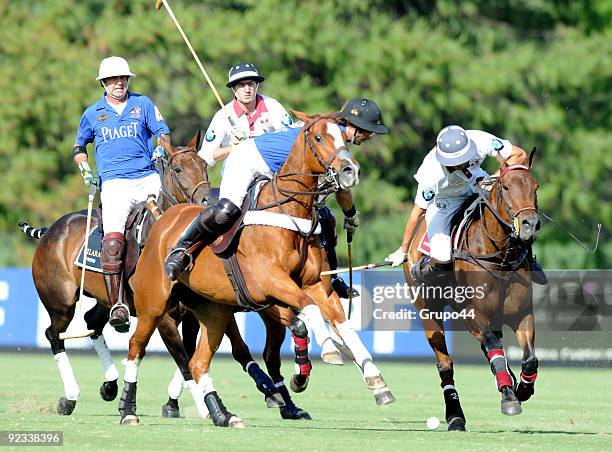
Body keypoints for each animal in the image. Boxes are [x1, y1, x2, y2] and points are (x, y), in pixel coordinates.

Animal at [23, 132, 212, 414]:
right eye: (178, 169)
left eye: (204, 165)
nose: (208, 202)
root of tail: (50, 231)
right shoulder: (164, 317)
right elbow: (182, 359)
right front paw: (204, 407)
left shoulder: (190, 316)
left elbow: (188, 357)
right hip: (60, 302)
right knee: (54, 335)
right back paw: (70, 397)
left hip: (105, 298)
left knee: (92, 322)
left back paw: (109, 385)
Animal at [122, 112, 394, 428]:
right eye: (318, 138)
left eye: (344, 137)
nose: (350, 171)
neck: (288, 214)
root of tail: (163, 218)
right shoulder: (270, 282)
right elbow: (308, 312)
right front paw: (326, 351)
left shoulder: (315, 285)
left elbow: (341, 323)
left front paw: (376, 381)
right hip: (154, 304)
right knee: (136, 347)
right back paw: (128, 411)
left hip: (213, 312)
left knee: (198, 362)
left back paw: (224, 415)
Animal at [406, 148, 540, 430]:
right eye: (506, 187)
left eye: (535, 187)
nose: (530, 225)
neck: (500, 256)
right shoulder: (474, 314)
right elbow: (494, 347)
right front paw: (509, 397)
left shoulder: (522, 312)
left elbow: (530, 358)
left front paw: (522, 389)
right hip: (428, 312)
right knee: (445, 364)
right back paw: (455, 416)